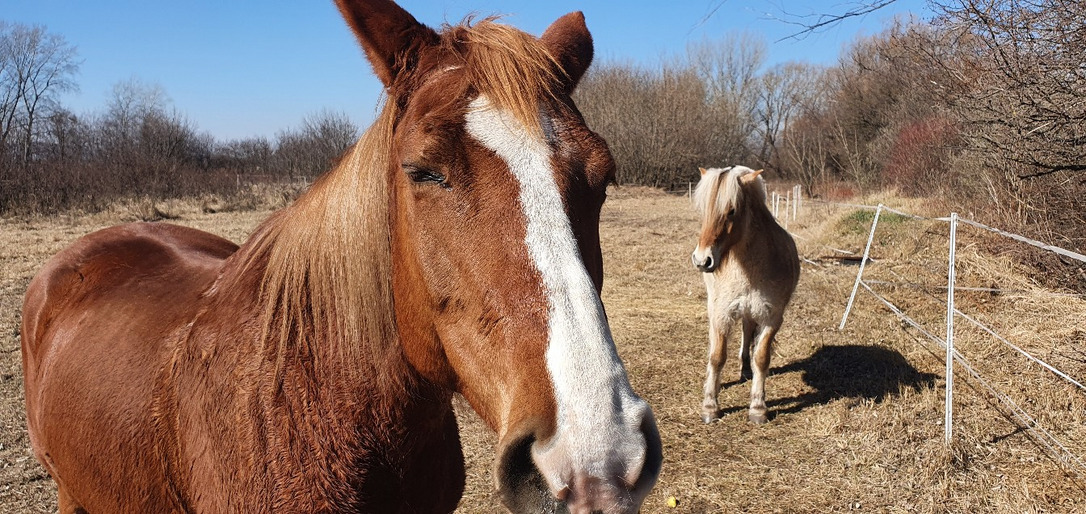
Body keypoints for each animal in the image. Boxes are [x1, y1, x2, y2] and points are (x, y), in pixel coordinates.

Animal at [695, 166, 799, 423]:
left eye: (731, 210)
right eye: (704, 209)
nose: (702, 260)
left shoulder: (771, 317)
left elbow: (760, 358)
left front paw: (758, 407)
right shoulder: (721, 315)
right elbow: (717, 356)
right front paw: (710, 406)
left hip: (750, 312)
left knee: (747, 333)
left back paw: (744, 370)